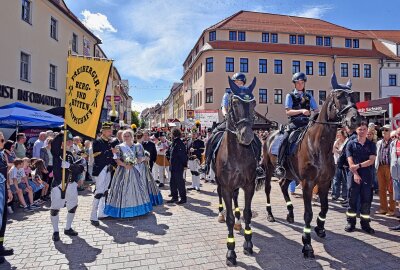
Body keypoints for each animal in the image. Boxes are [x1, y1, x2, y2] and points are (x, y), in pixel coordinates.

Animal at [212, 76, 262, 266]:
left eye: (254, 102)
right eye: (234, 103)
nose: (246, 136)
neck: (238, 154)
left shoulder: (249, 185)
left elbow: (248, 213)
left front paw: (248, 243)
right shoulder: (226, 186)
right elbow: (229, 218)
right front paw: (231, 252)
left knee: (236, 199)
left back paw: (239, 221)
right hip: (219, 182)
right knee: (220, 194)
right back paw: (220, 213)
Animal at [260, 73, 360, 258]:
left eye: (354, 96)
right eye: (339, 96)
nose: (356, 119)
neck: (318, 146)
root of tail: (269, 134)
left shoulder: (325, 182)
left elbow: (325, 208)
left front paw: (320, 228)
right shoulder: (308, 183)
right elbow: (308, 214)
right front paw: (307, 244)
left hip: (289, 174)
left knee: (283, 186)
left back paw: (290, 213)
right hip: (269, 170)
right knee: (269, 189)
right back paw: (270, 214)